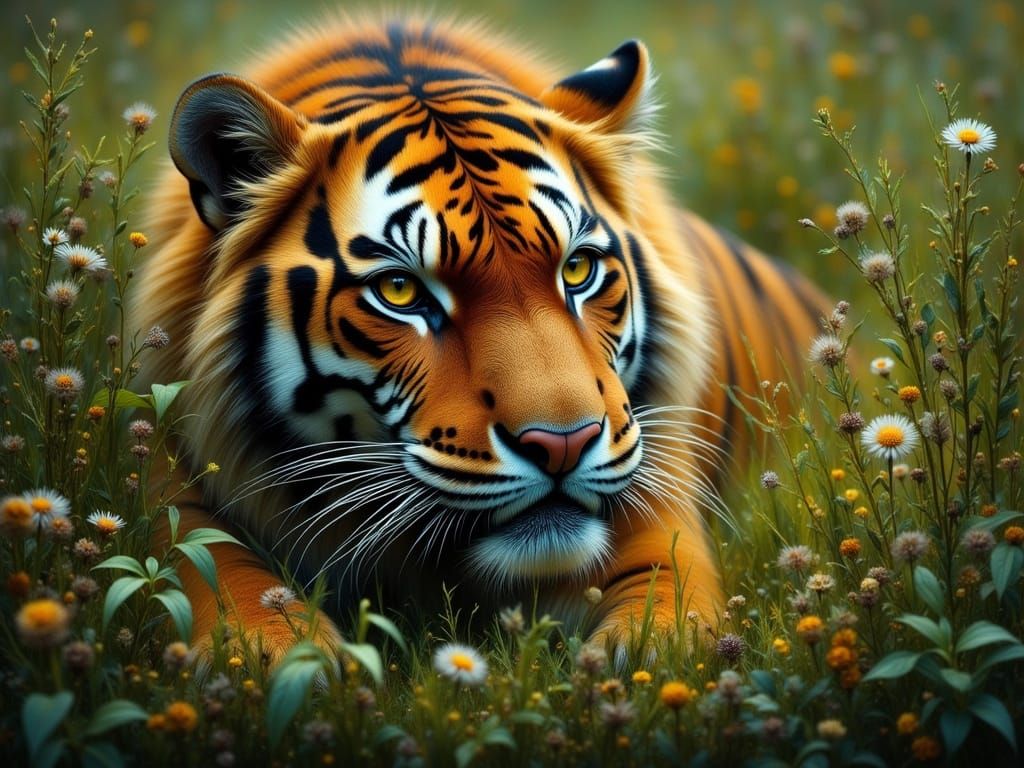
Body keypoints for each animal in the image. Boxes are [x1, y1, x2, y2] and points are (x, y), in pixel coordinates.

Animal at [132, 14, 826, 656]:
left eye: (577, 270)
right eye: (401, 291)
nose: (563, 445)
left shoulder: (655, 494)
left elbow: (669, 615)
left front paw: (646, 658)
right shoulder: (170, 487)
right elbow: (215, 576)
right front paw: (277, 659)